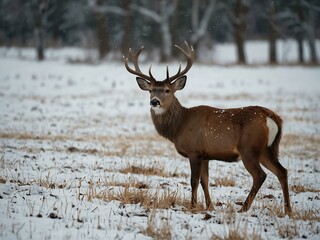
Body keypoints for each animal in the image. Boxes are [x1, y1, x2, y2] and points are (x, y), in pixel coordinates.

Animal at [123, 40, 292, 214]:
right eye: (150, 90)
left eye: (167, 90)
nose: (154, 101)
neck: (179, 126)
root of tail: (272, 118)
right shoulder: (205, 155)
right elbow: (205, 180)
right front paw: (209, 206)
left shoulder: (194, 151)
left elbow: (194, 180)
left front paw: (192, 206)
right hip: (268, 148)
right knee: (282, 171)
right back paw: (288, 210)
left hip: (249, 147)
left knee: (260, 175)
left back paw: (244, 208)